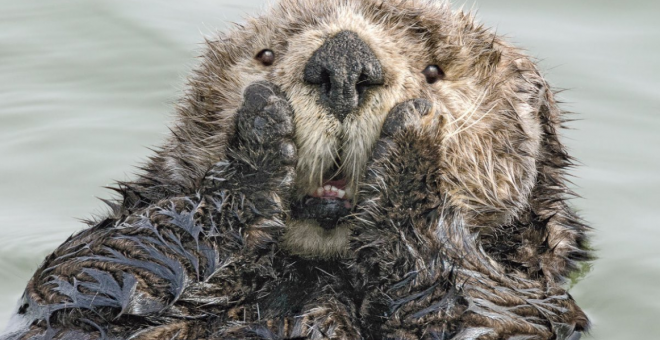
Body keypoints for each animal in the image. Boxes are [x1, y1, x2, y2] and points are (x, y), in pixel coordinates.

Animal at [2, 0, 592, 338]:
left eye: (434, 71)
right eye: (266, 55)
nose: (344, 62)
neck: (318, 274)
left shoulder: (534, 299)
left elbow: (487, 311)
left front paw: (413, 146)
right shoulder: (77, 289)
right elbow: (90, 271)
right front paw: (260, 133)